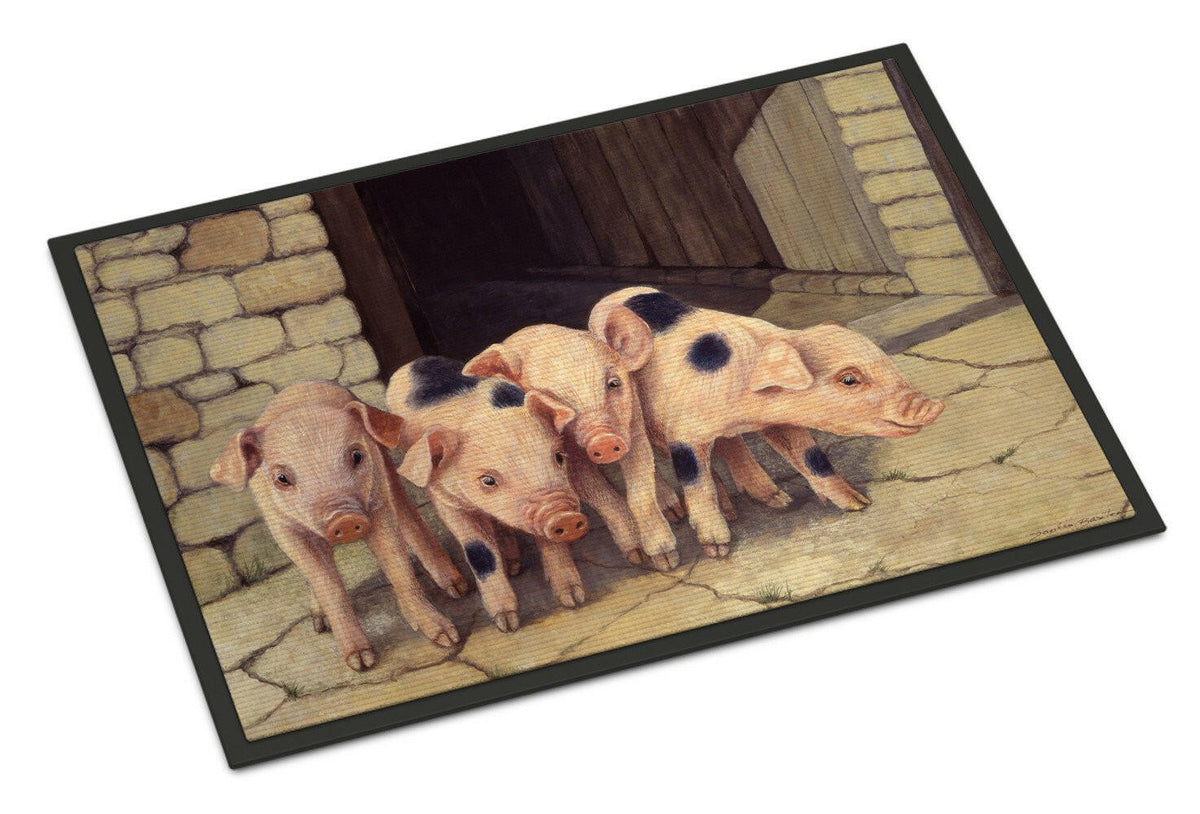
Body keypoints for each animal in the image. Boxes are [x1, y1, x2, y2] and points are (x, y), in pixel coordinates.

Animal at [210, 381, 466, 672]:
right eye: (282, 478)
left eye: (356, 455)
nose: (344, 518)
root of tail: (300, 384)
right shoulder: (283, 529)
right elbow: (327, 584)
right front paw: (360, 662)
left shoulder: (377, 505)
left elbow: (398, 567)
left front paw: (448, 637)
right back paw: (319, 624)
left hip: (387, 470)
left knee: (409, 518)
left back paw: (459, 589)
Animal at [387, 357, 589, 631]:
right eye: (488, 480)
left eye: (558, 456)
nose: (565, 518)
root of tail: (416, 361)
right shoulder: (444, 499)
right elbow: (479, 552)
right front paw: (507, 624)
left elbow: (547, 539)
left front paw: (574, 599)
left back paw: (514, 566)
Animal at [462, 308, 681, 570]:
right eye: (555, 400)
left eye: (614, 383)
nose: (604, 441)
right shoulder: (565, 454)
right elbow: (599, 494)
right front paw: (636, 556)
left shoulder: (633, 424)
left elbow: (640, 488)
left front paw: (667, 561)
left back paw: (676, 513)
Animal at [588, 287, 945, 558]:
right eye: (848, 379)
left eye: (885, 360)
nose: (932, 405)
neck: (746, 403)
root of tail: (608, 297)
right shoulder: (684, 433)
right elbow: (696, 483)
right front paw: (717, 550)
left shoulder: (779, 420)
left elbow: (813, 458)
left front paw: (858, 504)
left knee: (731, 445)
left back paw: (775, 501)